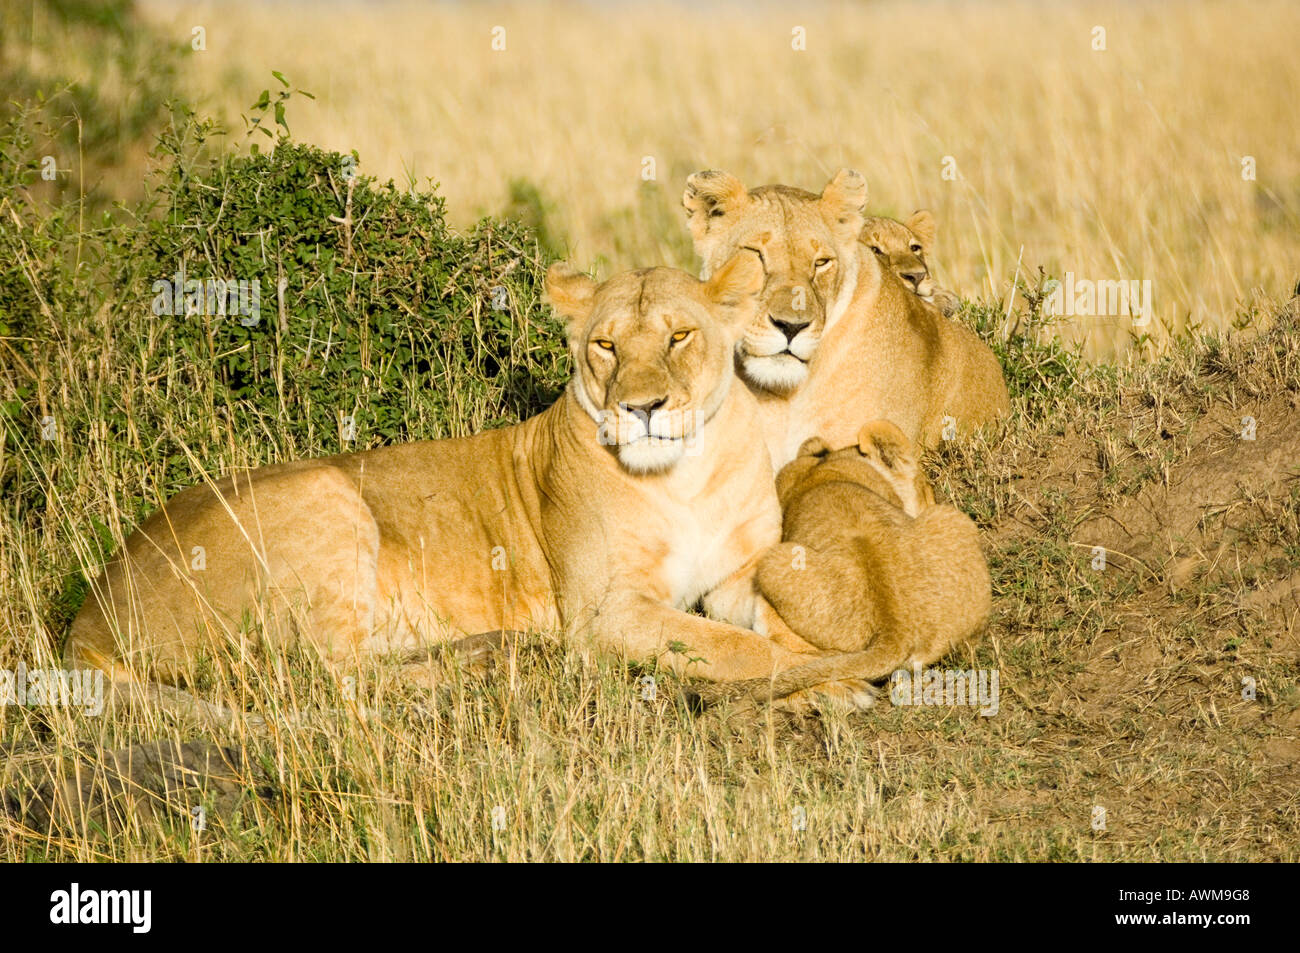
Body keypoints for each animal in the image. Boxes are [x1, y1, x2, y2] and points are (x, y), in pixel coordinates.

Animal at [64, 254, 882, 701]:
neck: (686, 473)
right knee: (321, 674)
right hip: (326, 496)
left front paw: (827, 668)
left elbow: (767, 625)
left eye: (680, 336)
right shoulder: (604, 613)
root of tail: (84, 618)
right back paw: (487, 666)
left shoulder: (742, 571)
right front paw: (834, 682)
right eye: (606, 346)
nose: (642, 409)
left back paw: (492, 649)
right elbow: (739, 649)